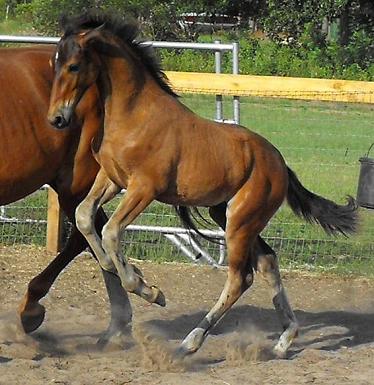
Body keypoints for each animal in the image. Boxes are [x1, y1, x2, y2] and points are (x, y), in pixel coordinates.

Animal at [48, 14, 358, 356]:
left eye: (74, 65)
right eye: (55, 63)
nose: (57, 119)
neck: (135, 116)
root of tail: (279, 164)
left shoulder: (144, 189)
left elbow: (111, 231)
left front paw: (149, 289)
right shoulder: (112, 179)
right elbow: (84, 216)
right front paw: (114, 267)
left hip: (240, 222)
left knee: (240, 279)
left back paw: (191, 341)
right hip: (226, 216)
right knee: (267, 262)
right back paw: (283, 340)